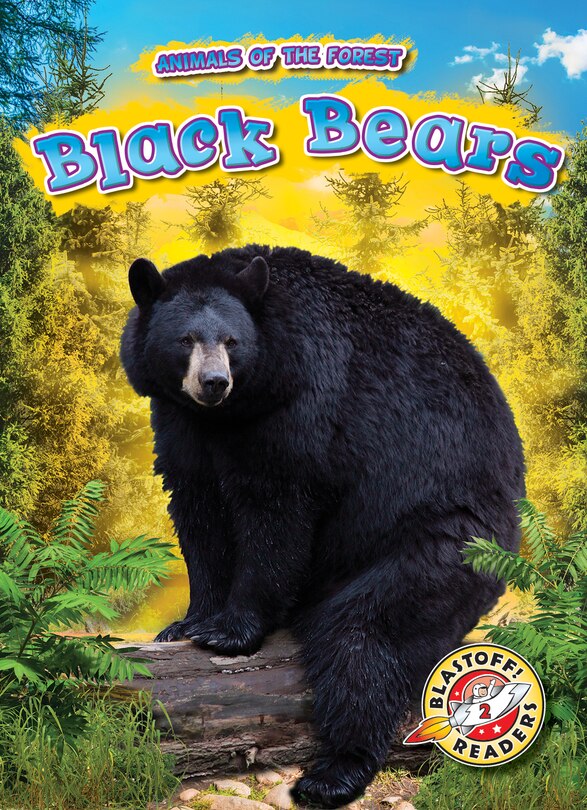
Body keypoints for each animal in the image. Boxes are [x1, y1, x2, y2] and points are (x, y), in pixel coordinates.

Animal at [120, 245, 525, 808]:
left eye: (231, 341)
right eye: (185, 339)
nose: (214, 382)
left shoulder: (302, 406)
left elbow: (276, 511)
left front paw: (229, 630)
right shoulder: (182, 420)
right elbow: (198, 510)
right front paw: (186, 623)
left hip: (441, 537)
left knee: (364, 640)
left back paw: (332, 774)